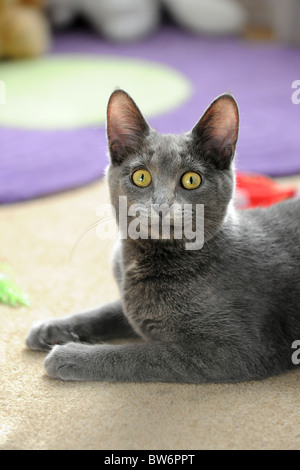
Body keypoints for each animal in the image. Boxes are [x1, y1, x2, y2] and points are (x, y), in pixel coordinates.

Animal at [25, 89, 300, 382]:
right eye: (141, 177)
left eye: (191, 179)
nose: (161, 206)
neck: (144, 260)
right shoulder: (127, 305)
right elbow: (108, 311)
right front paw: (49, 328)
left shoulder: (235, 351)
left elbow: (138, 355)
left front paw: (68, 355)